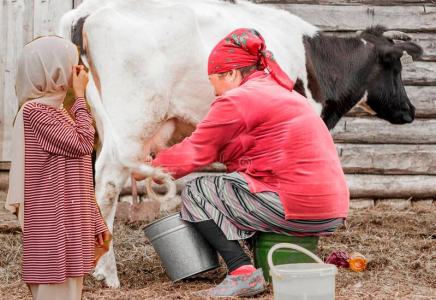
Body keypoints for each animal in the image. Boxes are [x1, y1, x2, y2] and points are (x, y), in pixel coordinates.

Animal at [59, 0, 420, 288]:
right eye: (396, 68)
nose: (410, 111)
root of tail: (87, 10)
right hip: (131, 121)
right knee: (107, 185)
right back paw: (107, 274)